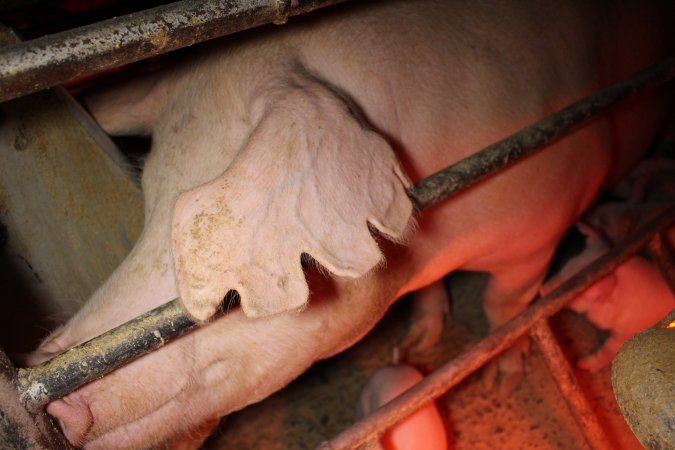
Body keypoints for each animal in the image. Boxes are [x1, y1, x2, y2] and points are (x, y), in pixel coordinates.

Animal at [27, 0, 675, 446]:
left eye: (231, 297)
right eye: (149, 200)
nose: (51, 399)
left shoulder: (542, 224)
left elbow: (504, 304)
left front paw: (501, 379)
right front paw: (423, 339)